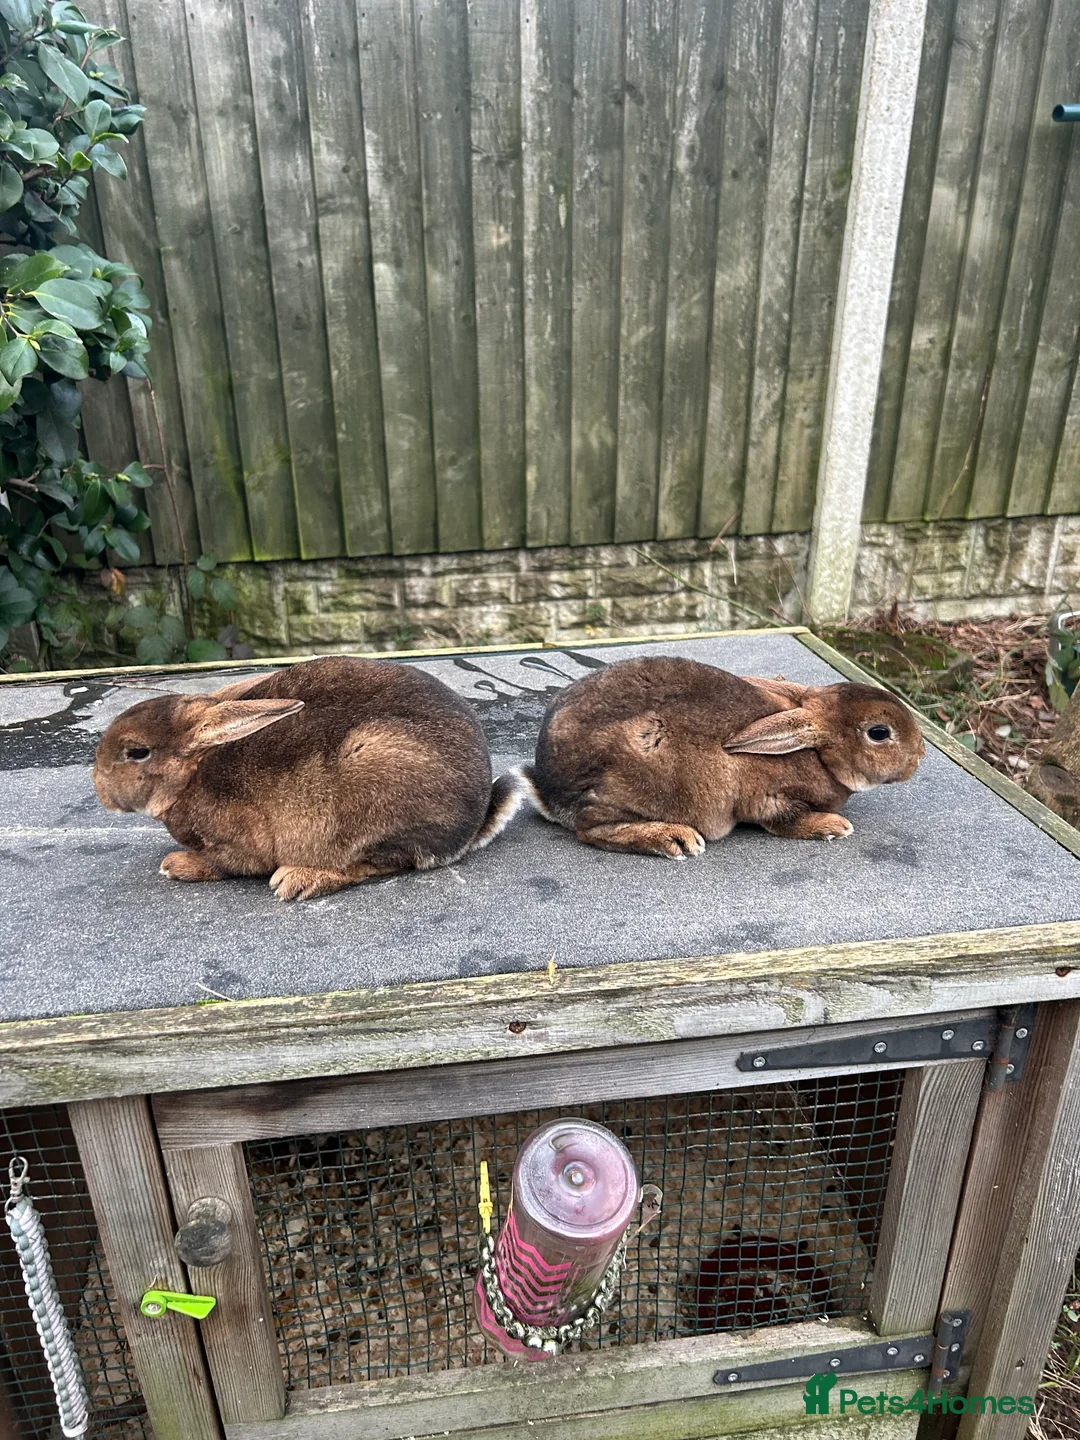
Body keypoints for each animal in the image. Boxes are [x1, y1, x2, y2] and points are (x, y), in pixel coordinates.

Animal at [93, 656, 525, 900]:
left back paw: (298, 880)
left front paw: (176, 865)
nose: (99, 789)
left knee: (371, 865)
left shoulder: (237, 847)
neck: (193, 773)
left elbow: (223, 865)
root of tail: (474, 822)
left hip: (371, 790)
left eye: (136, 753)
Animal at [517, 656, 924, 857]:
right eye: (879, 733)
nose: (919, 755)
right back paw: (674, 839)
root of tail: (549, 791)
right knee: (591, 829)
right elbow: (786, 821)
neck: (818, 753)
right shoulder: (771, 800)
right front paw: (833, 826)